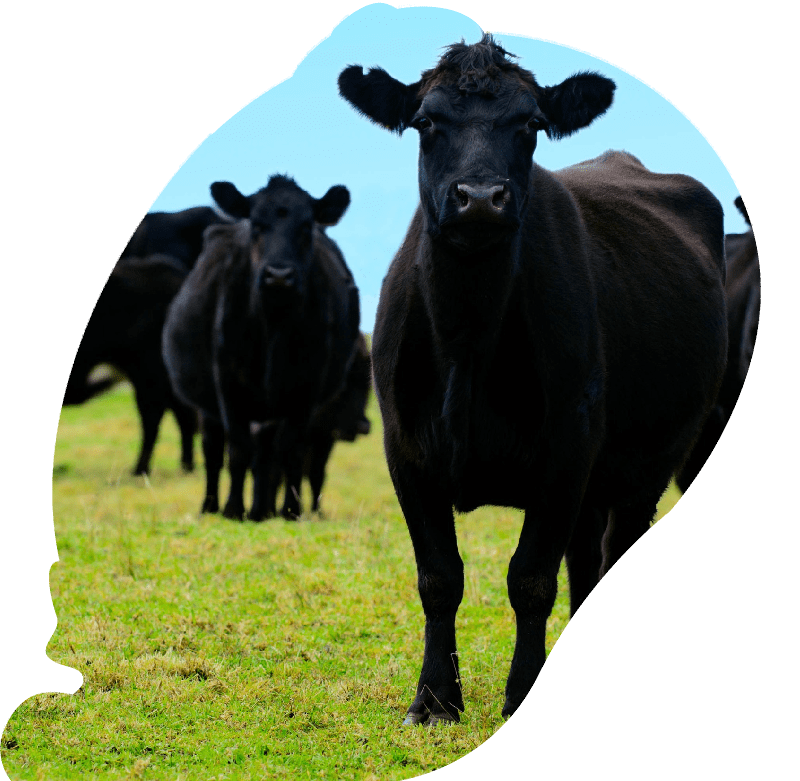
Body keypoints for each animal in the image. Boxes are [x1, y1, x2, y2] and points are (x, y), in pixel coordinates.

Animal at [162, 175, 361, 521]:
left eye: (307, 226)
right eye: (256, 224)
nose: (279, 275)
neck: (273, 326)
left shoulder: (305, 388)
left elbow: (290, 450)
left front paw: (290, 510)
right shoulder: (228, 384)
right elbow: (237, 449)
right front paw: (232, 509)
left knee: (267, 455)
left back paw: (261, 510)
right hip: (209, 406)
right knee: (213, 451)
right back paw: (211, 505)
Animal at [338, 34, 728, 724]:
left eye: (531, 126)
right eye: (426, 122)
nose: (480, 197)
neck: (468, 340)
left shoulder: (566, 450)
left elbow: (530, 580)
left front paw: (520, 694)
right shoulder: (405, 450)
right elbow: (440, 578)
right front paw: (434, 701)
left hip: (649, 463)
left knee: (614, 550)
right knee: (585, 562)